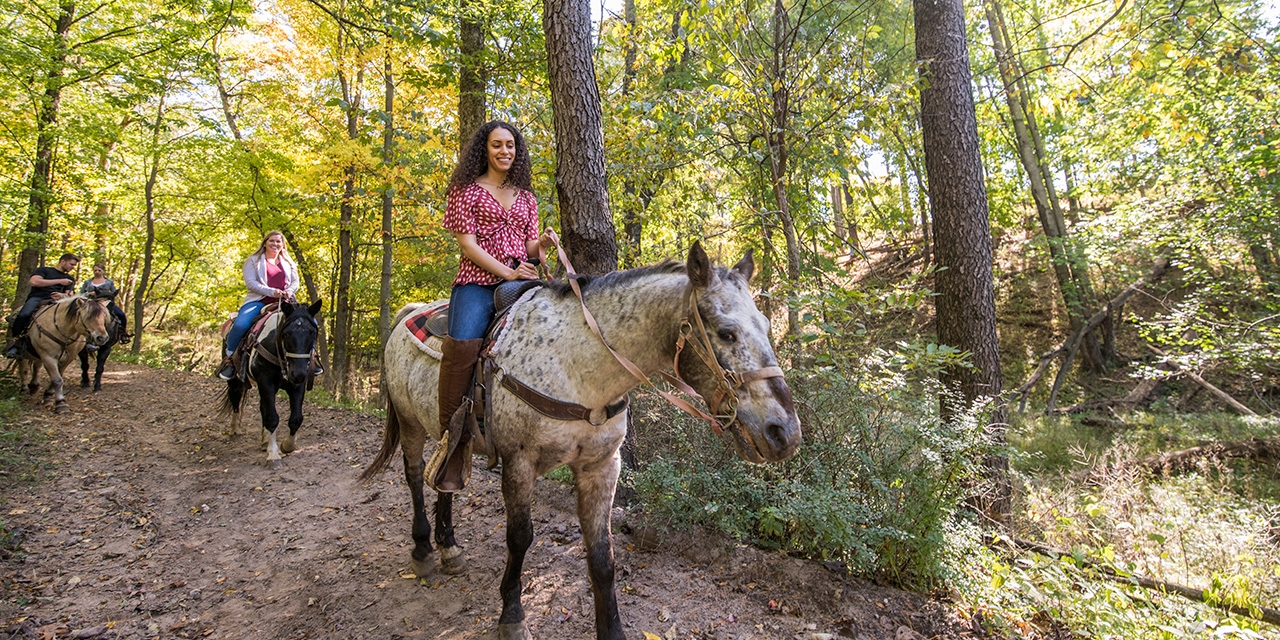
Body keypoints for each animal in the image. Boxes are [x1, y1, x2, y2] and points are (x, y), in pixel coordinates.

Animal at [215, 300, 322, 469]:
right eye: (286, 334)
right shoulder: (265, 382)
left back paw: (264, 439)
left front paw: (287, 445)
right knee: (235, 397)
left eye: (312, 333)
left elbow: (296, 418)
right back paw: (235, 429)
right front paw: (273, 455)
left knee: (262, 408)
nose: (298, 374)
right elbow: (272, 417)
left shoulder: (297, 385)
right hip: (235, 379)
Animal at [363, 242, 801, 640]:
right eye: (727, 333)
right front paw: (512, 615)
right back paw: (423, 549)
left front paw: (612, 629)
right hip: (411, 424)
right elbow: (519, 537)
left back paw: (450, 546)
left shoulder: (601, 466)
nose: (784, 433)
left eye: (766, 327)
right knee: (415, 475)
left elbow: (602, 555)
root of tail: (408, 312)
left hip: (454, 437)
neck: (577, 369)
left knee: (447, 480)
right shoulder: (519, 463)